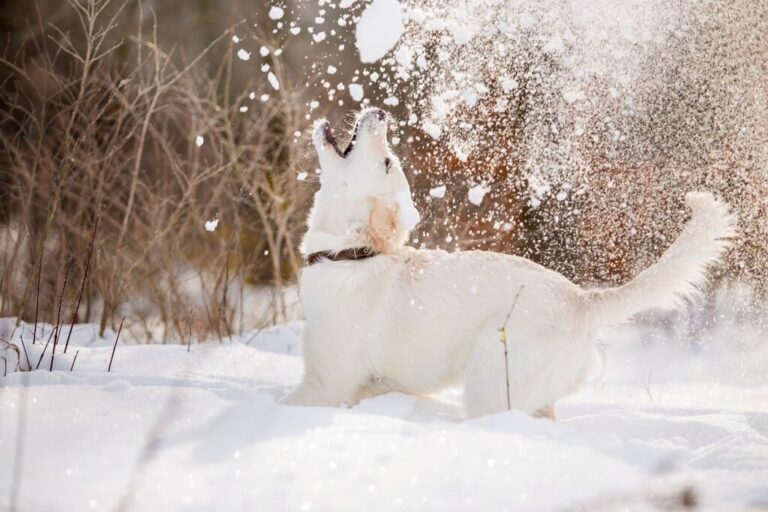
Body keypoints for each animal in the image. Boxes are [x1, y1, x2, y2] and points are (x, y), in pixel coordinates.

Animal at [284, 110, 736, 418]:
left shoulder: (325, 384)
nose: (381, 114)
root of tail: (580, 300)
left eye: (386, 163)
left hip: (490, 381)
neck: (349, 255)